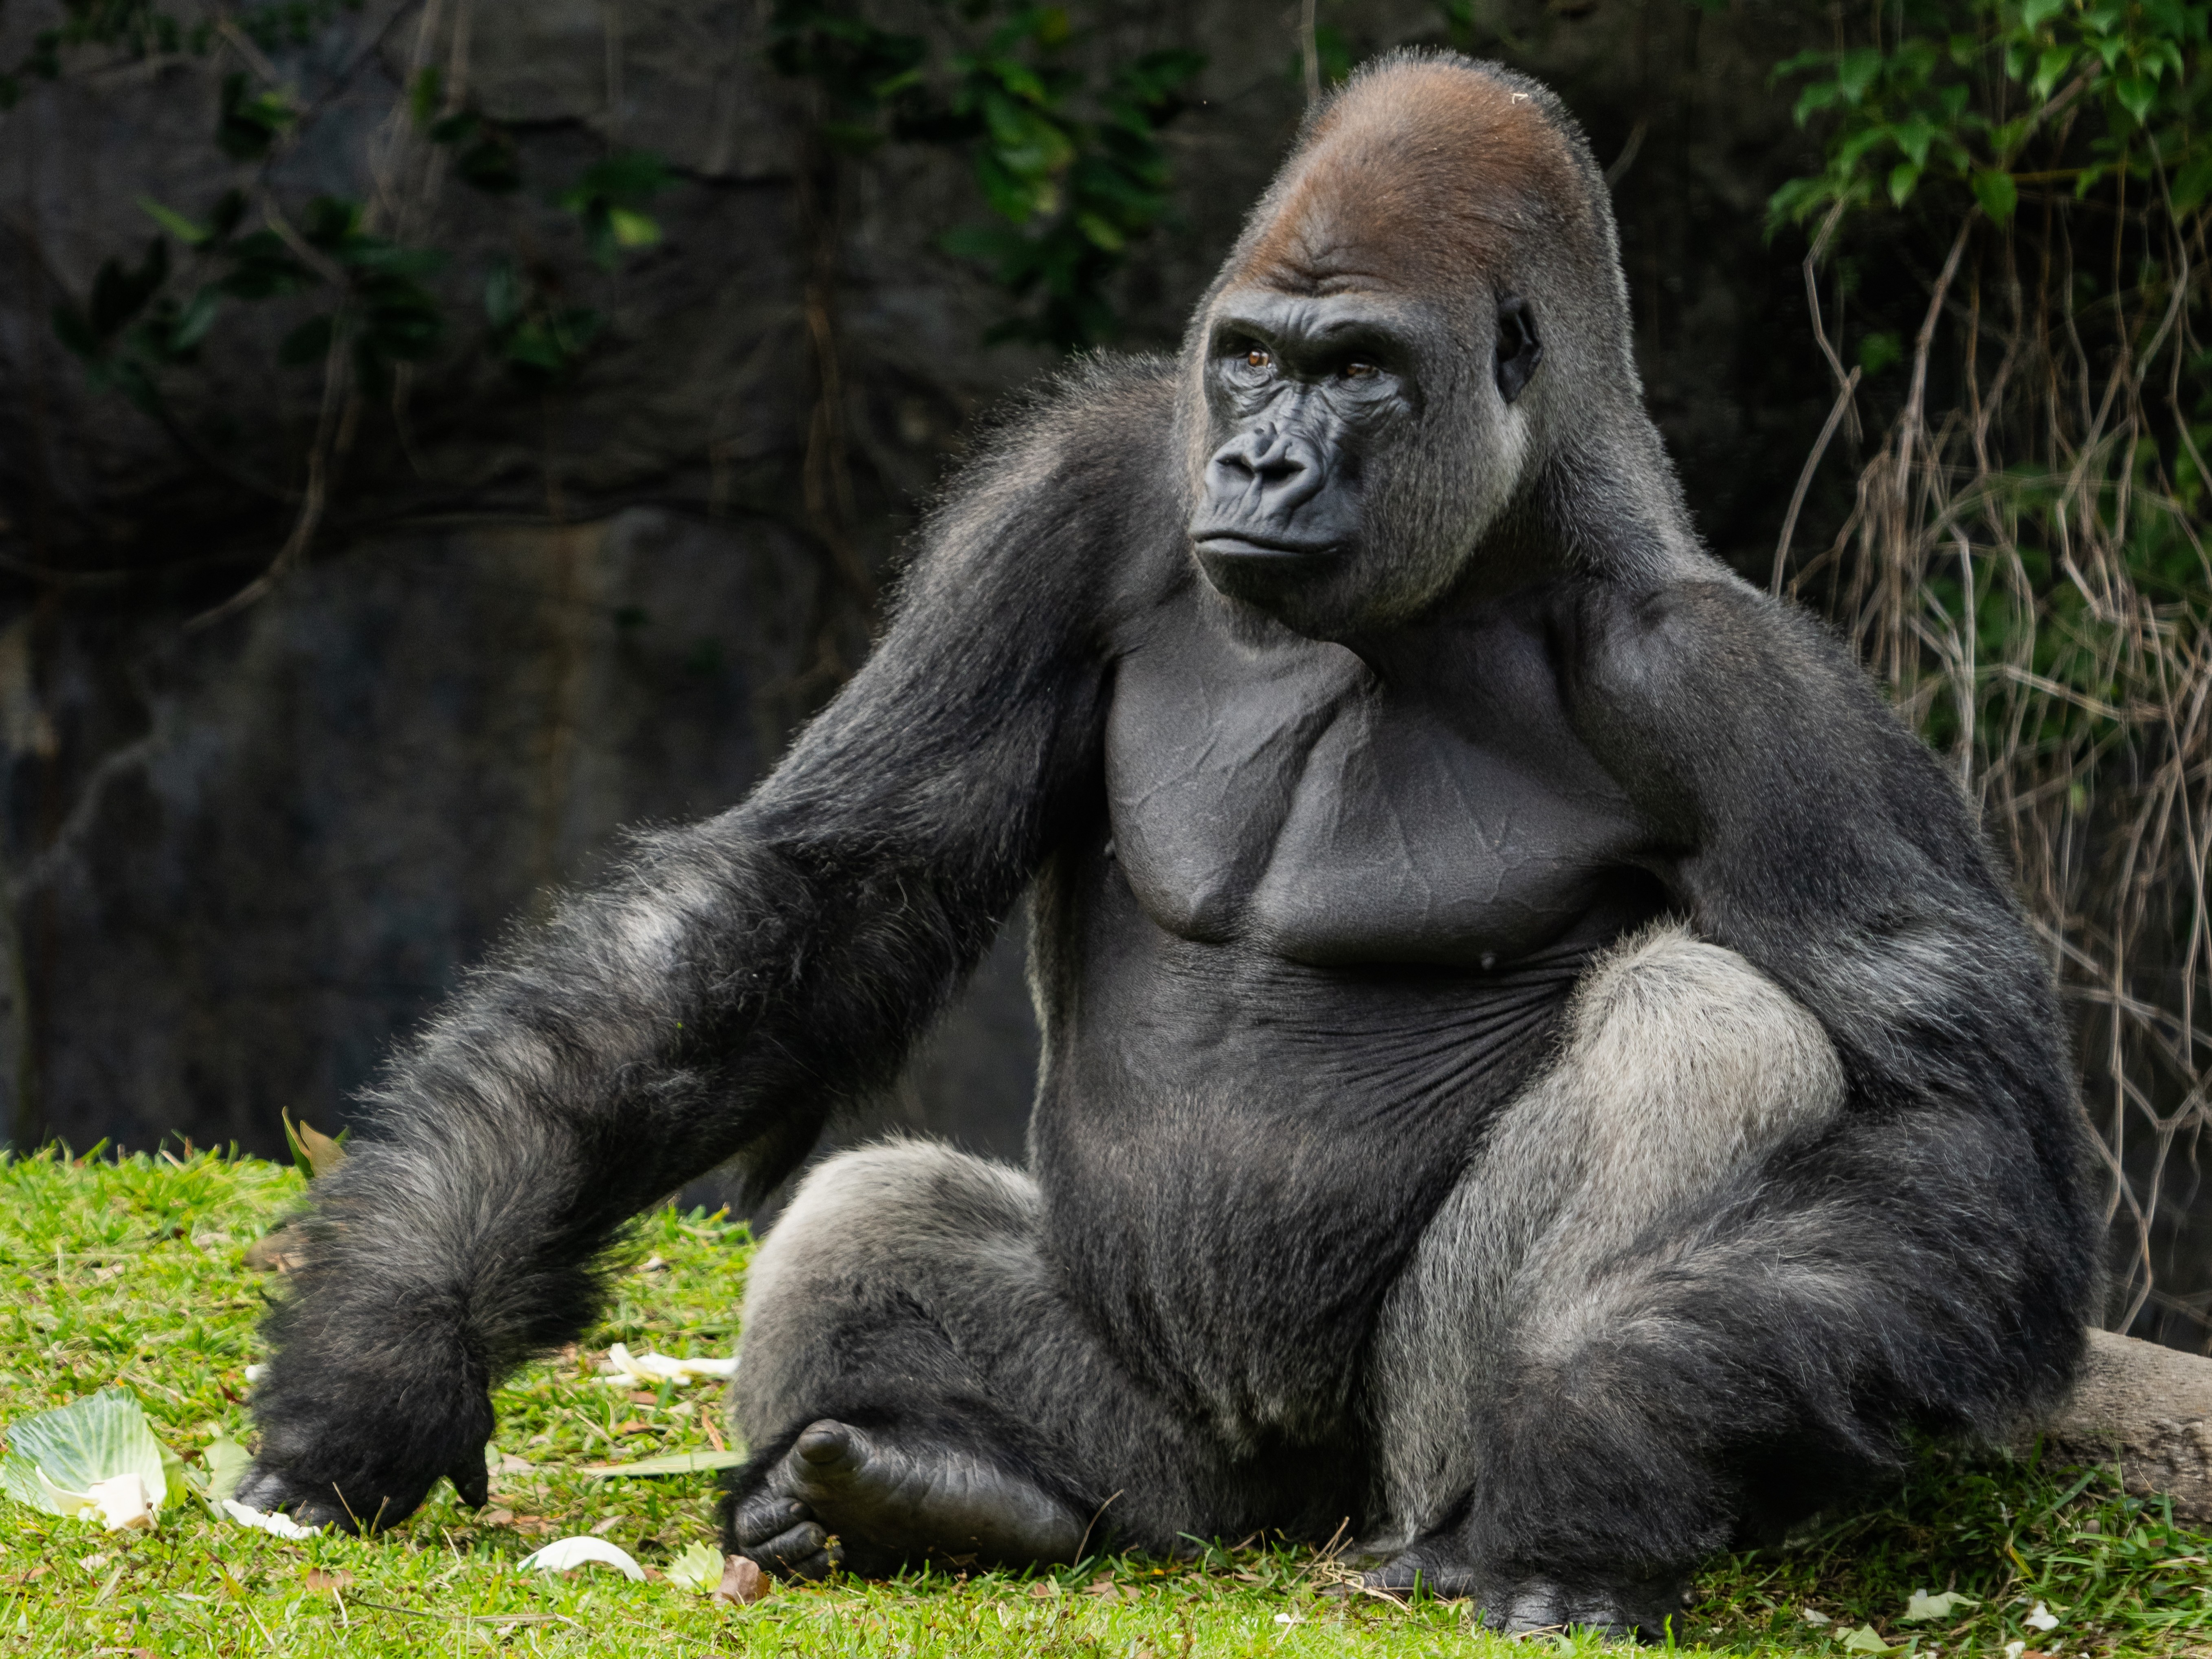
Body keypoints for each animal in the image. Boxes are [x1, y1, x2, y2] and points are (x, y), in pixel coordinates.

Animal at [237, 52, 2099, 1637]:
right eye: (1254, 357)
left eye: (1362, 371)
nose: (1263, 464)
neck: (1464, 575)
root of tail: (1259, 1518)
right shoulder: (1074, 497)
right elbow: (817, 893)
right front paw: (383, 1336)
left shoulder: (1746, 690)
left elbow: (1954, 1131)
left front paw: (1606, 1419)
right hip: (1155, 1458)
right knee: (869, 1215)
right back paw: (940, 1490)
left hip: (1366, 1474)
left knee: (1700, 1027)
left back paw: (1482, 1537)